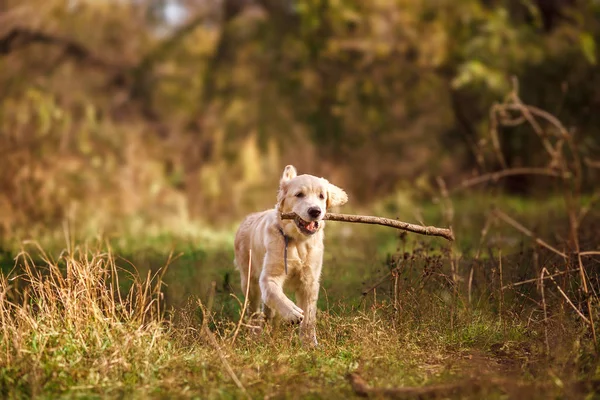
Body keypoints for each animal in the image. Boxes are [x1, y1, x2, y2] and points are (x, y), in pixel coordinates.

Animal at [233, 164, 346, 346]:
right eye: (299, 194)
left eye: (321, 196)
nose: (315, 211)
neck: (298, 241)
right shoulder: (269, 276)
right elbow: (275, 293)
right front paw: (292, 312)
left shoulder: (309, 282)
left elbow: (309, 317)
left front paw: (309, 343)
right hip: (249, 281)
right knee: (254, 311)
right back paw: (255, 335)